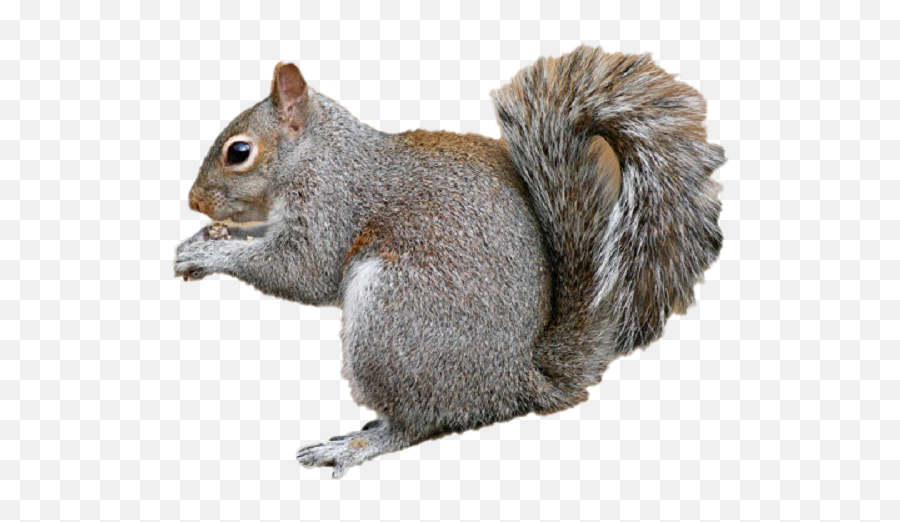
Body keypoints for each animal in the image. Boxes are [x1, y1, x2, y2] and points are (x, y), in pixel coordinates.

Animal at [175, 46, 724, 478]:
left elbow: (301, 271)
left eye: (239, 152)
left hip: (391, 322)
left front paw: (212, 252)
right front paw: (204, 240)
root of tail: (514, 382)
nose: (194, 202)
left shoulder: (331, 205)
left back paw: (359, 444)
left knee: (422, 423)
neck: (319, 155)